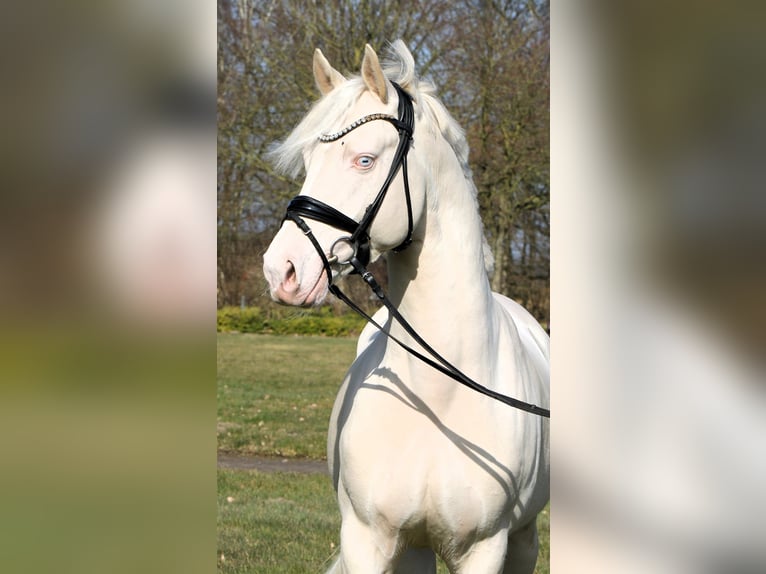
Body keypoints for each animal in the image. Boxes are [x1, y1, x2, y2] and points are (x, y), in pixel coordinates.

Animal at [266, 40, 552, 574]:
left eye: (364, 160)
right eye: (310, 160)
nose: (283, 271)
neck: (438, 396)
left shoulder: (486, 547)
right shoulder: (369, 539)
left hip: (522, 541)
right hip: (414, 549)